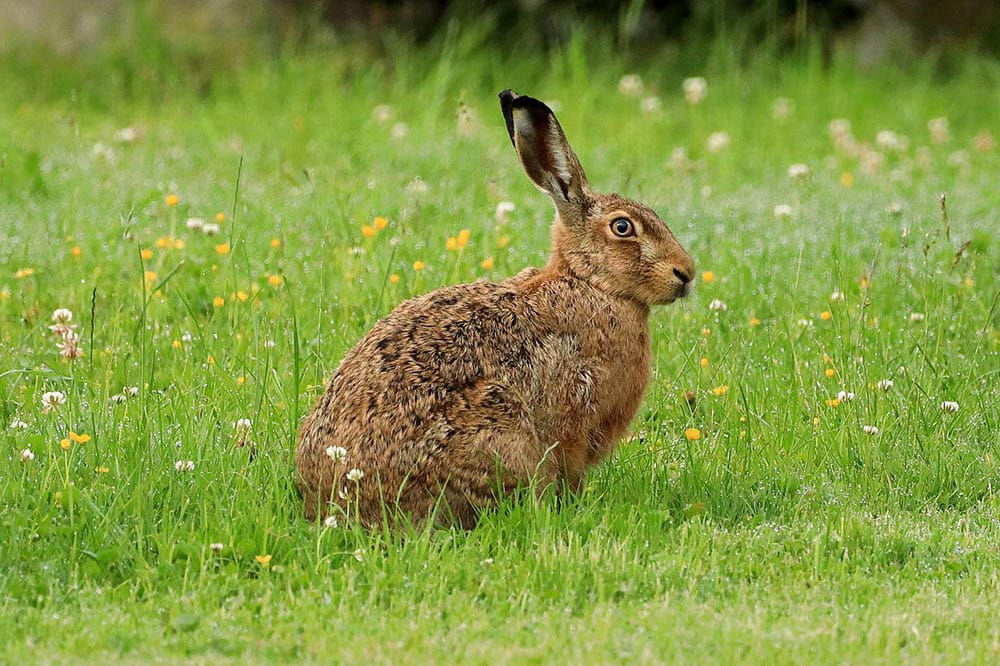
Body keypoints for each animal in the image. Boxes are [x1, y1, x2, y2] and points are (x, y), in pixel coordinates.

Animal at [295, 90, 696, 528]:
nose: (687, 273)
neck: (590, 283)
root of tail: (333, 503)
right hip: (498, 433)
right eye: (623, 227)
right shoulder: (573, 417)